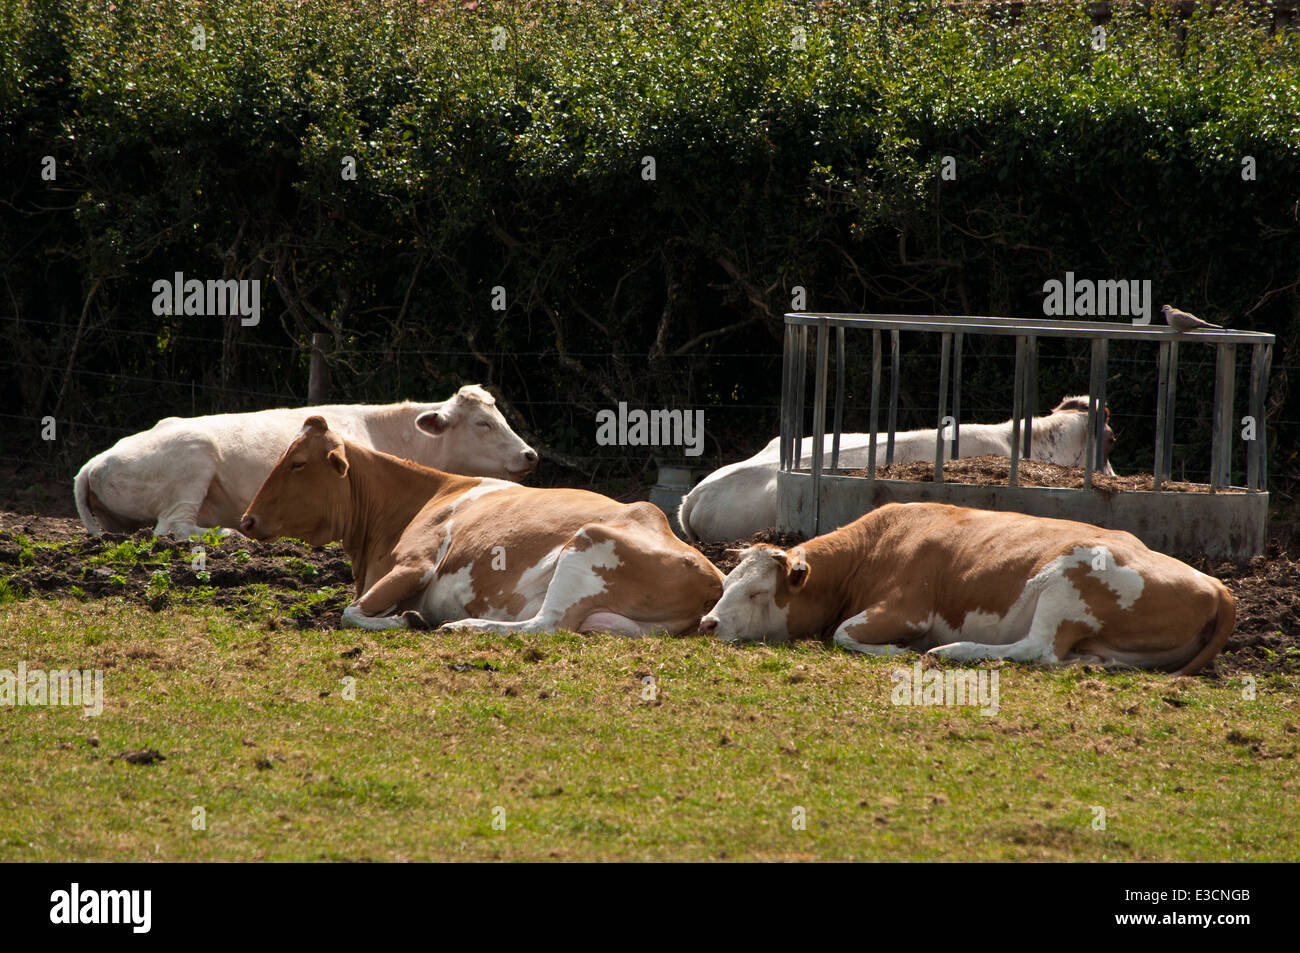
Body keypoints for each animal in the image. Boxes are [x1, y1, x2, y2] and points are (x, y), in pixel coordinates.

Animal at [74, 384, 537, 538]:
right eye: (482, 423)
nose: (529, 454)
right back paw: (228, 534)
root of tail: (96, 460)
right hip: (194, 458)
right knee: (172, 527)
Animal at [238, 416, 724, 636]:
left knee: (544, 624)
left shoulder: (416, 564)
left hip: (588, 544)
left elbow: (350, 612)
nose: (246, 518)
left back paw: (463, 626)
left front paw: (410, 618)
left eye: (298, 463)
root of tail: (712, 573)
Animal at [698, 502, 1233, 675]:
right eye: (727, 583)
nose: (707, 623)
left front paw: (900, 651)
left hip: (1066, 580)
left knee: (1038, 649)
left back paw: (951, 651)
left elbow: (844, 633)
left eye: (757, 594)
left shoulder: (907, 608)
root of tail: (1212, 581)